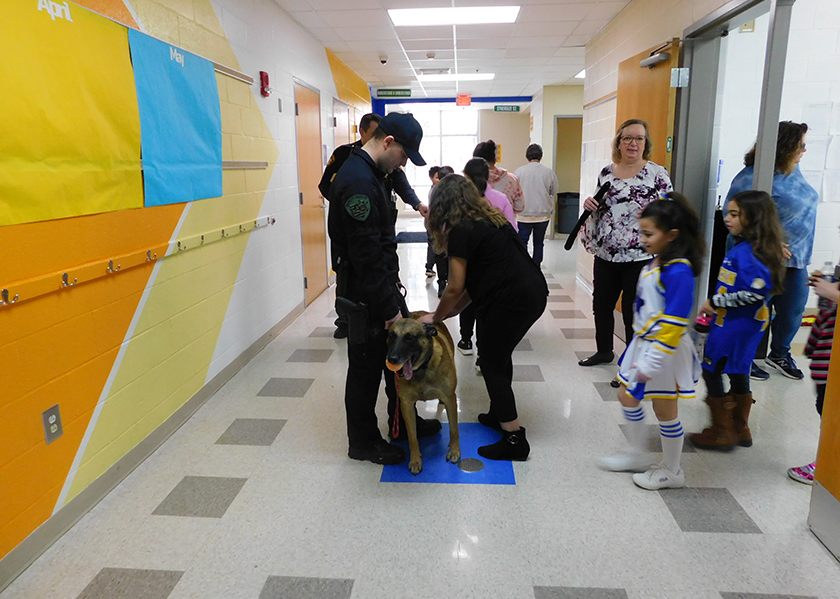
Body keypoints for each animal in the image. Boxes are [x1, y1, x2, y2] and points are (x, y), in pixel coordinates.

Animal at [386, 312, 460, 476]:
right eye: (391, 336)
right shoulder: (406, 405)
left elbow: (453, 429)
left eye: (410, 338)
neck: (421, 370)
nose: (392, 359)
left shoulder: (451, 399)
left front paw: (454, 451)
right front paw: (415, 461)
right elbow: (412, 437)